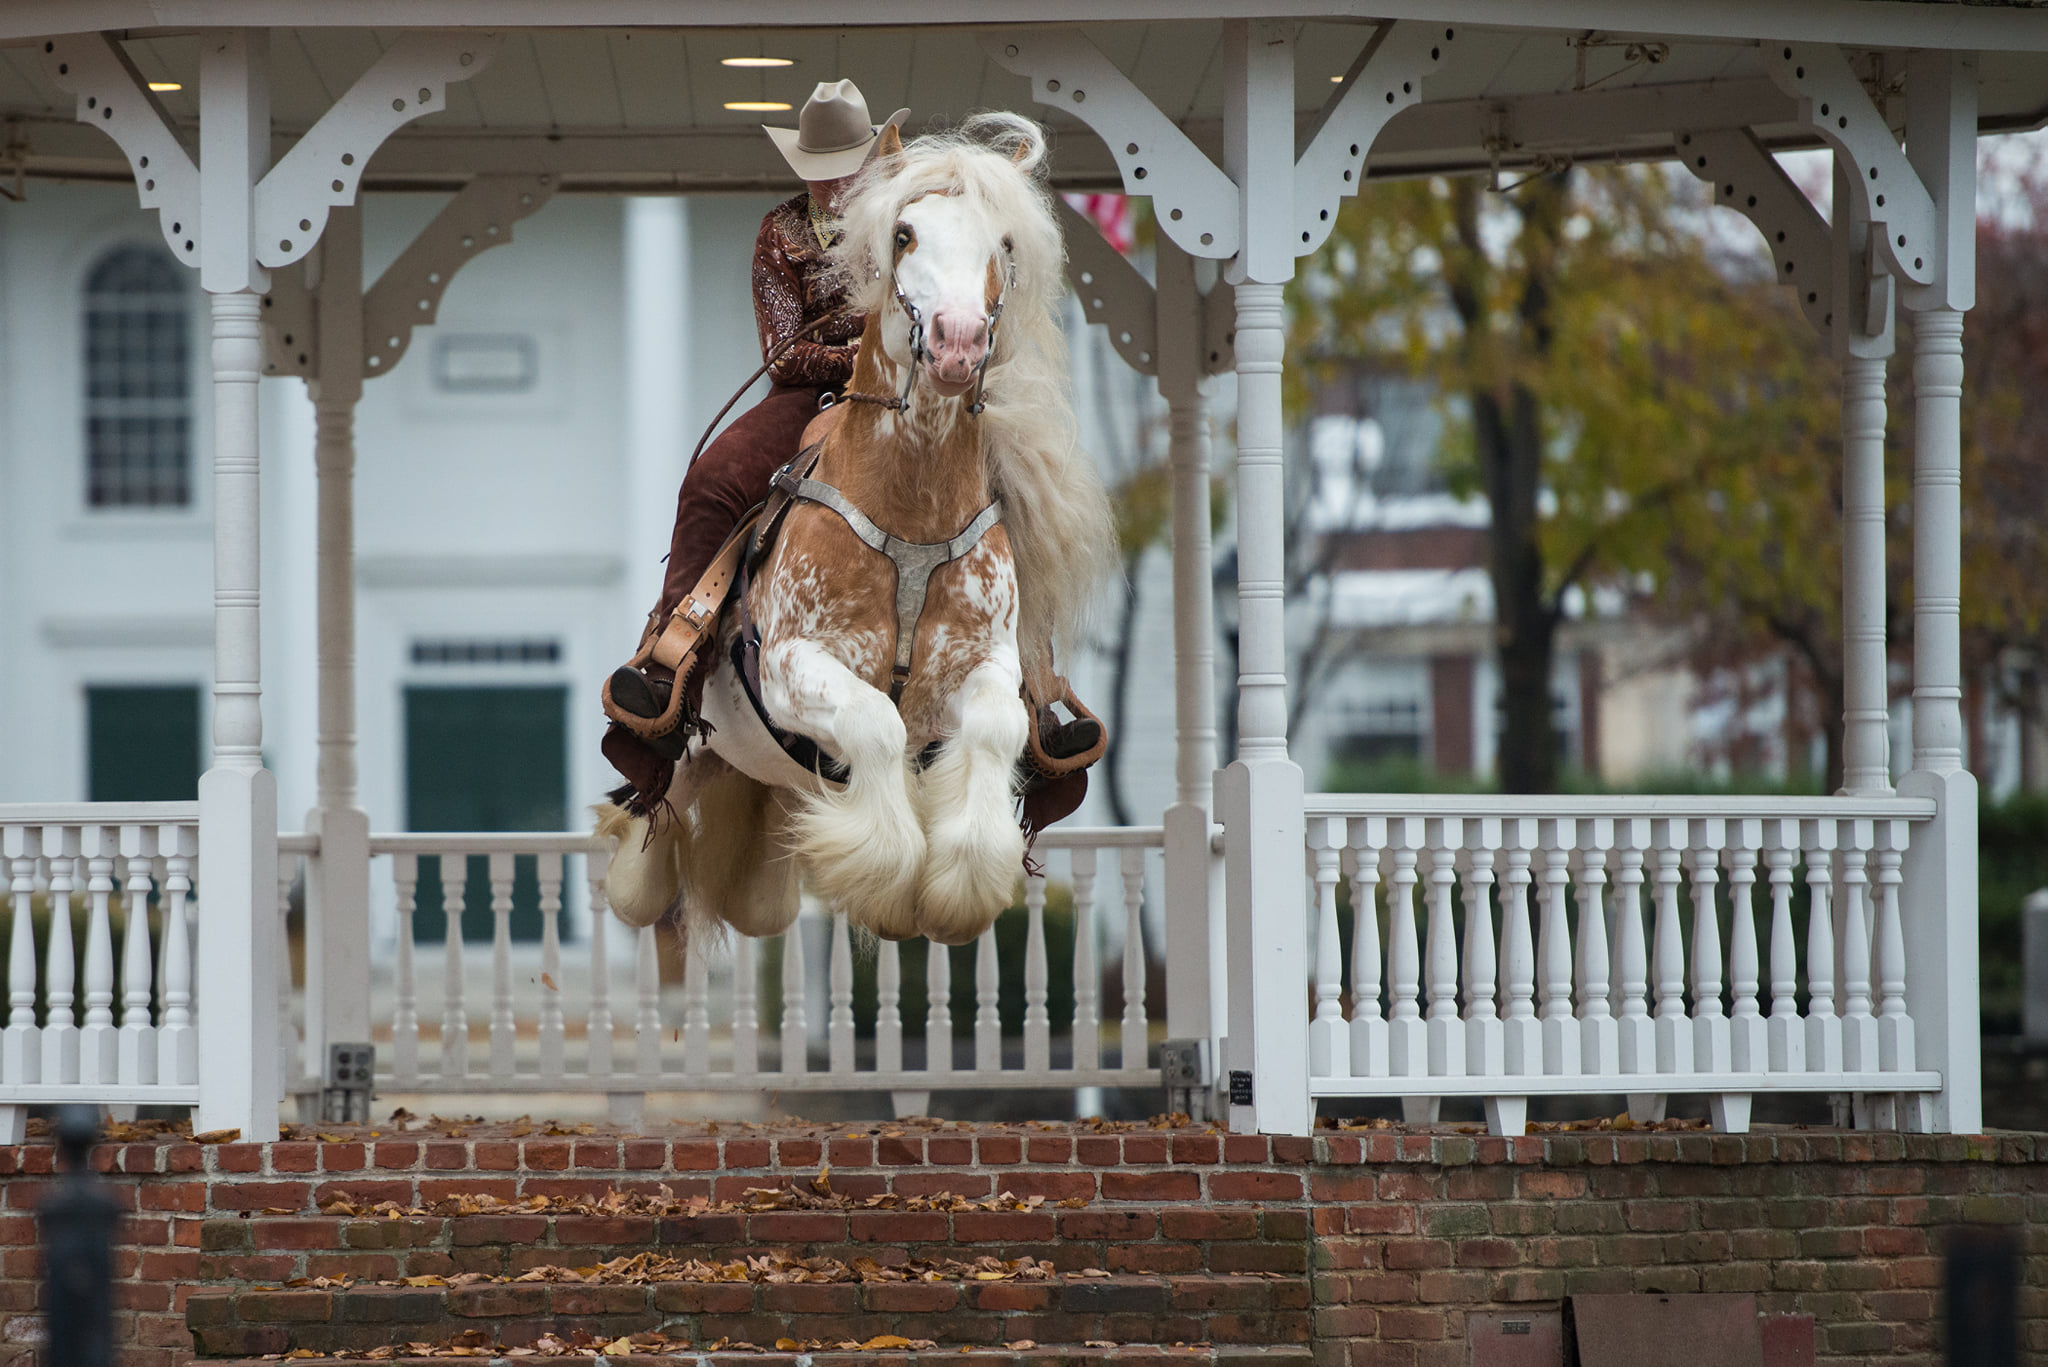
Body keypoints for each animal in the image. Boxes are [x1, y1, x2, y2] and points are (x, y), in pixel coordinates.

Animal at [598, 114, 1122, 950]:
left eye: (1004, 242)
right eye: (904, 234)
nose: (956, 341)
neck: (909, 511)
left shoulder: (987, 666)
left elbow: (998, 725)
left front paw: (956, 886)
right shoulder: (792, 665)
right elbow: (875, 722)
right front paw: (886, 880)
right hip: (686, 730)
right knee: (656, 796)